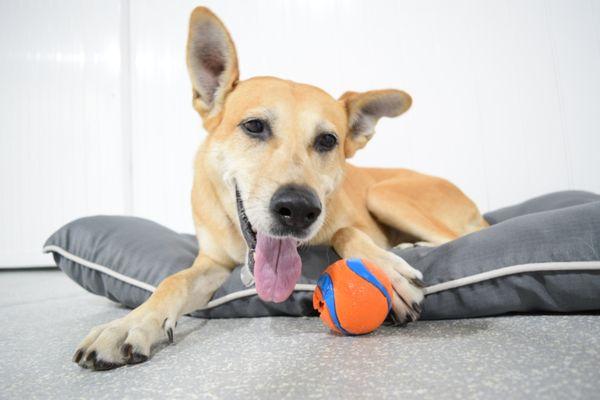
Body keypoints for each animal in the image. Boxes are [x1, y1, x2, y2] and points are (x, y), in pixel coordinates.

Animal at [74, 6, 488, 370]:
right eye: (254, 126)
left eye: (327, 141)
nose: (299, 210)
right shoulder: (211, 264)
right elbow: (171, 281)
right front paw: (128, 324)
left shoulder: (349, 223)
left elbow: (344, 231)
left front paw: (387, 269)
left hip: (383, 194)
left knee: (460, 236)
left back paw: (408, 247)